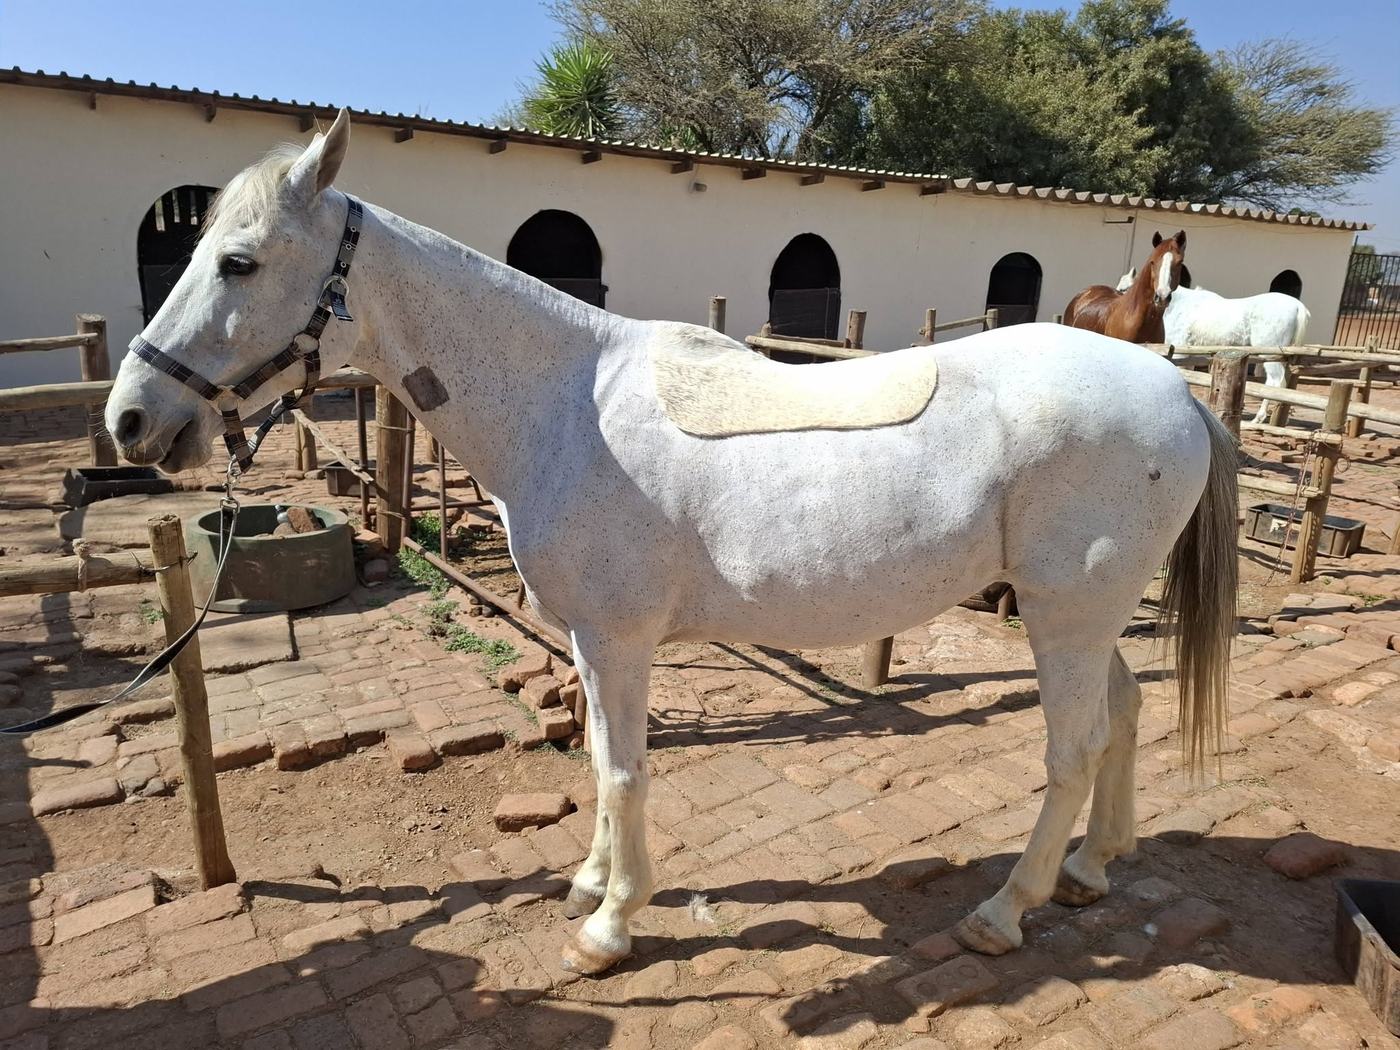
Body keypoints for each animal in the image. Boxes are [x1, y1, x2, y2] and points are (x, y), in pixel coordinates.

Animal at [105, 111, 1238, 976]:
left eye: (238, 262)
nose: (131, 420)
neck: (569, 405)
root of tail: (1176, 394)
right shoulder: (585, 643)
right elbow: (603, 756)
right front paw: (588, 885)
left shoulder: (618, 641)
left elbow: (622, 772)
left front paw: (610, 926)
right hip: (1082, 618)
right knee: (1124, 717)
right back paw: (1090, 870)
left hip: (1064, 618)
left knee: (1071, 750)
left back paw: (1007, 910)